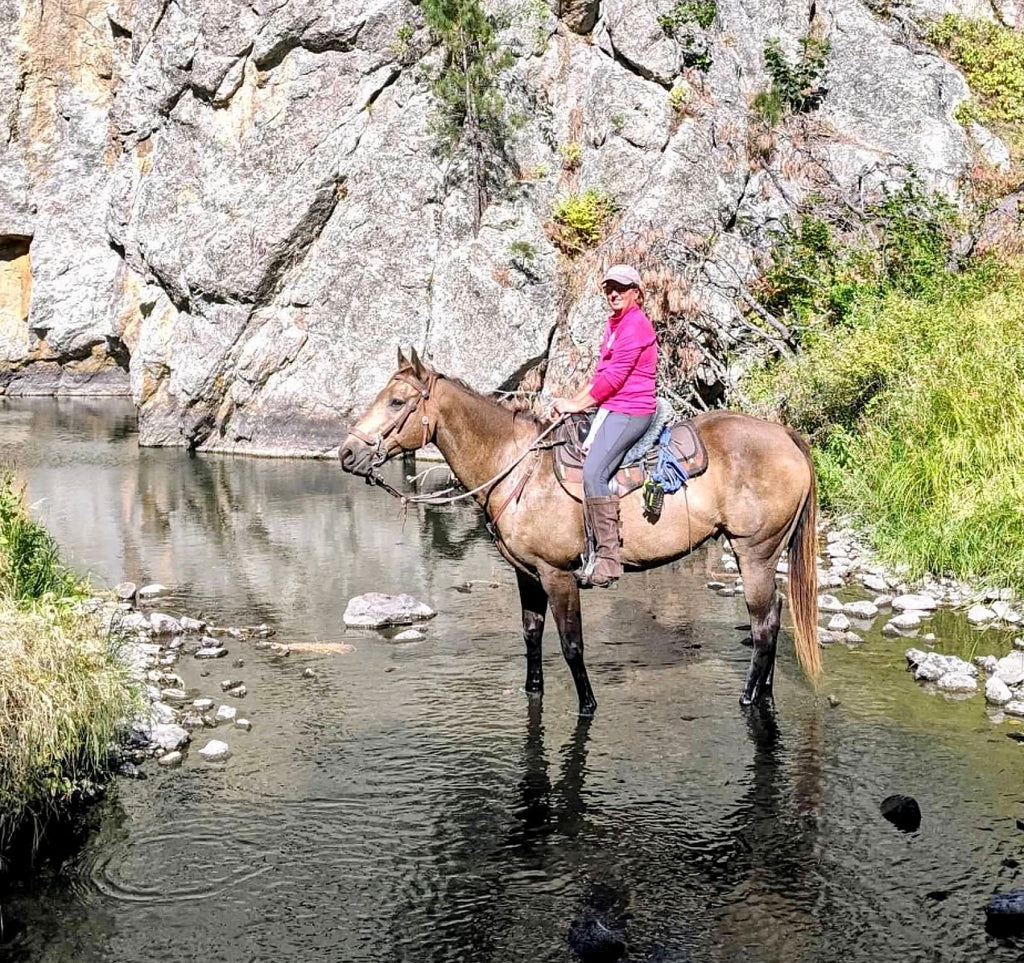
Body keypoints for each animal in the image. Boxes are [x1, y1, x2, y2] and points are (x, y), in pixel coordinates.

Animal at [339, 348, 819, 713]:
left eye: (397, 402)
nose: (346, 453)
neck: (517, 467)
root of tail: (786, 436)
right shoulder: (528, 574)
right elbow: (532, 636)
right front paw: (532, 690)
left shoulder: (558, 575)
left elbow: (572, 645)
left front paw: (587, 705)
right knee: (774, 615)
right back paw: (765, 695)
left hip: (754, 552)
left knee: (763, 624)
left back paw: (748, 698)